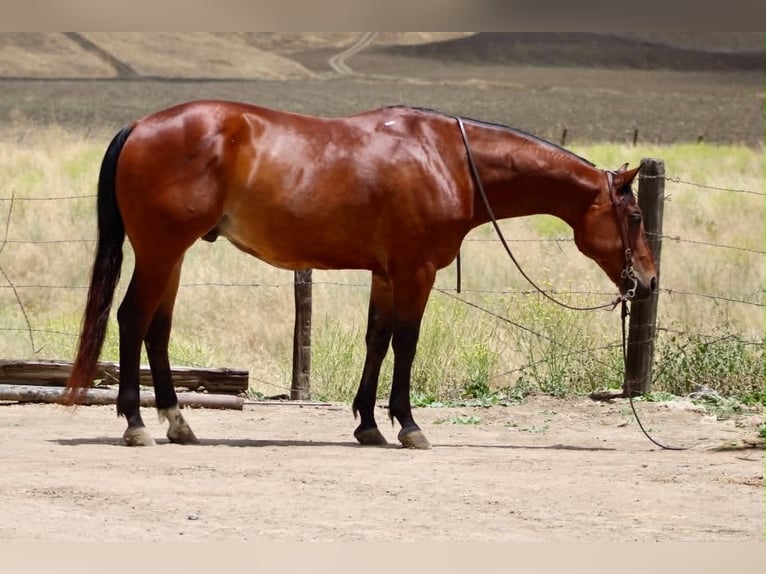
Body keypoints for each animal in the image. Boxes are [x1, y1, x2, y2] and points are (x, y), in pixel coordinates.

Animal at [63, 100, 657, 449]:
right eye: (634, 217)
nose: (647, 282)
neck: (449, 159)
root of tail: (141, 126)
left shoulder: (387, 275)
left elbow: (377, 340)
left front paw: (368, 424)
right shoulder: (416, 273)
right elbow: (407, 343)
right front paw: (409, 425)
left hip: (173, 256)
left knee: (157, 329)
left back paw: (177, 422)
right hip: (161, 251)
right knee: (133, 319)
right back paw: (137, 424)